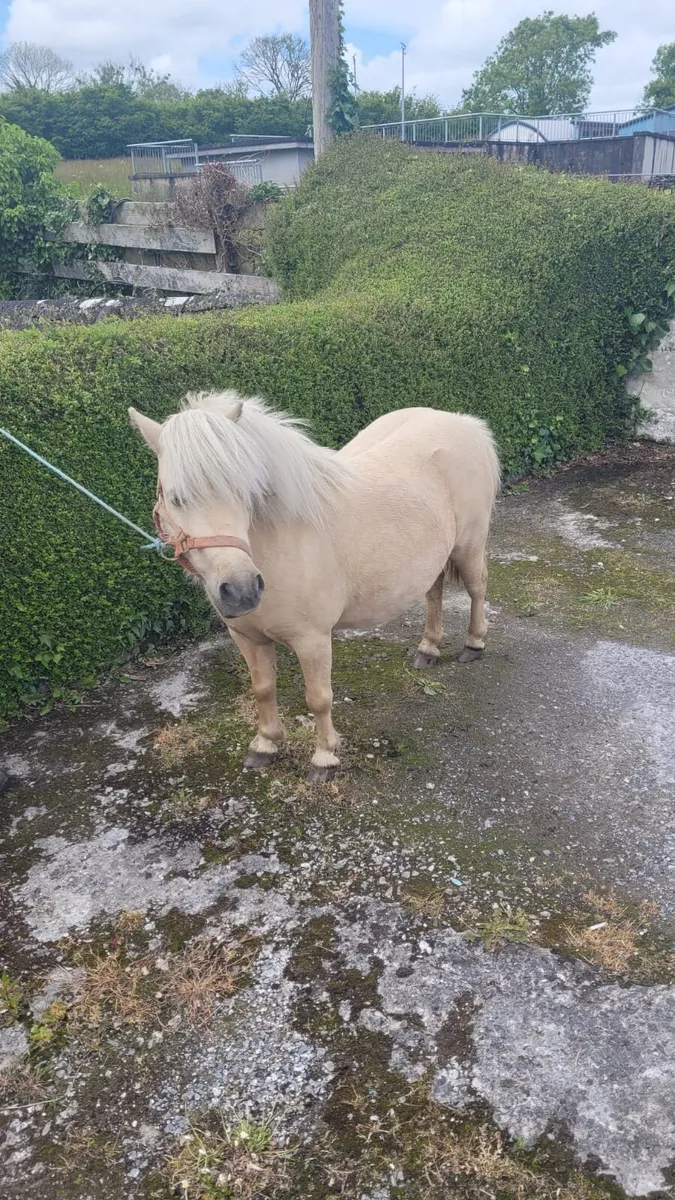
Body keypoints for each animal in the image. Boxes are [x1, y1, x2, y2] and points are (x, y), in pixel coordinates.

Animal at [129, 392, 500, 780]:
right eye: (175, 498)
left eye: (244, 492)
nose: (243, 590)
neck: (278, 542)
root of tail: (465, 424)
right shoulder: (247, 638)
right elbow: (263, 689)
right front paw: (266, 745)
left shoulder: (313, 640)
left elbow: (318, 698)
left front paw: (324, 758)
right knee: (434, 594)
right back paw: (428, 649)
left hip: (468, 547)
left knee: (477, 589)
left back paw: (474, 644)